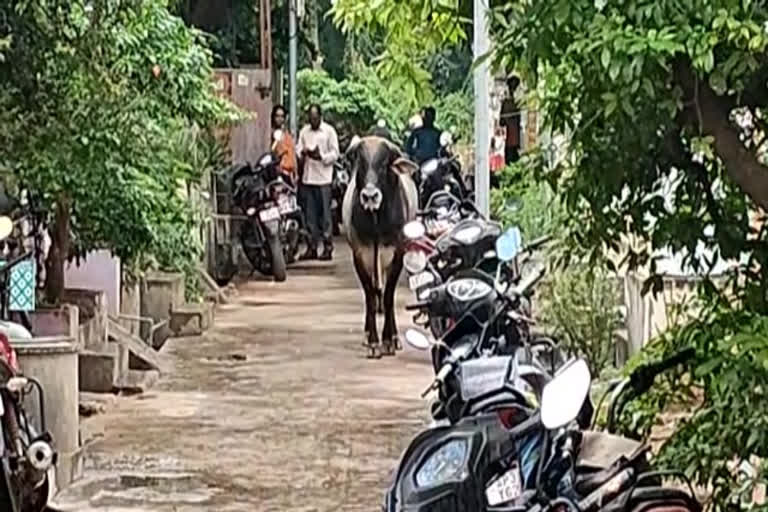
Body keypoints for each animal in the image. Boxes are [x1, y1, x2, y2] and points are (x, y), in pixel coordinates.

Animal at [344, 138, 420, 358]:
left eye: (385, 163)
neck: (376, 221)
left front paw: (389, 340)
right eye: (360, 161)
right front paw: (372, 342)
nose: (370, 196)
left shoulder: (397, 255)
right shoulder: (360, 255)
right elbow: (370, 296)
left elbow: (388, 296)